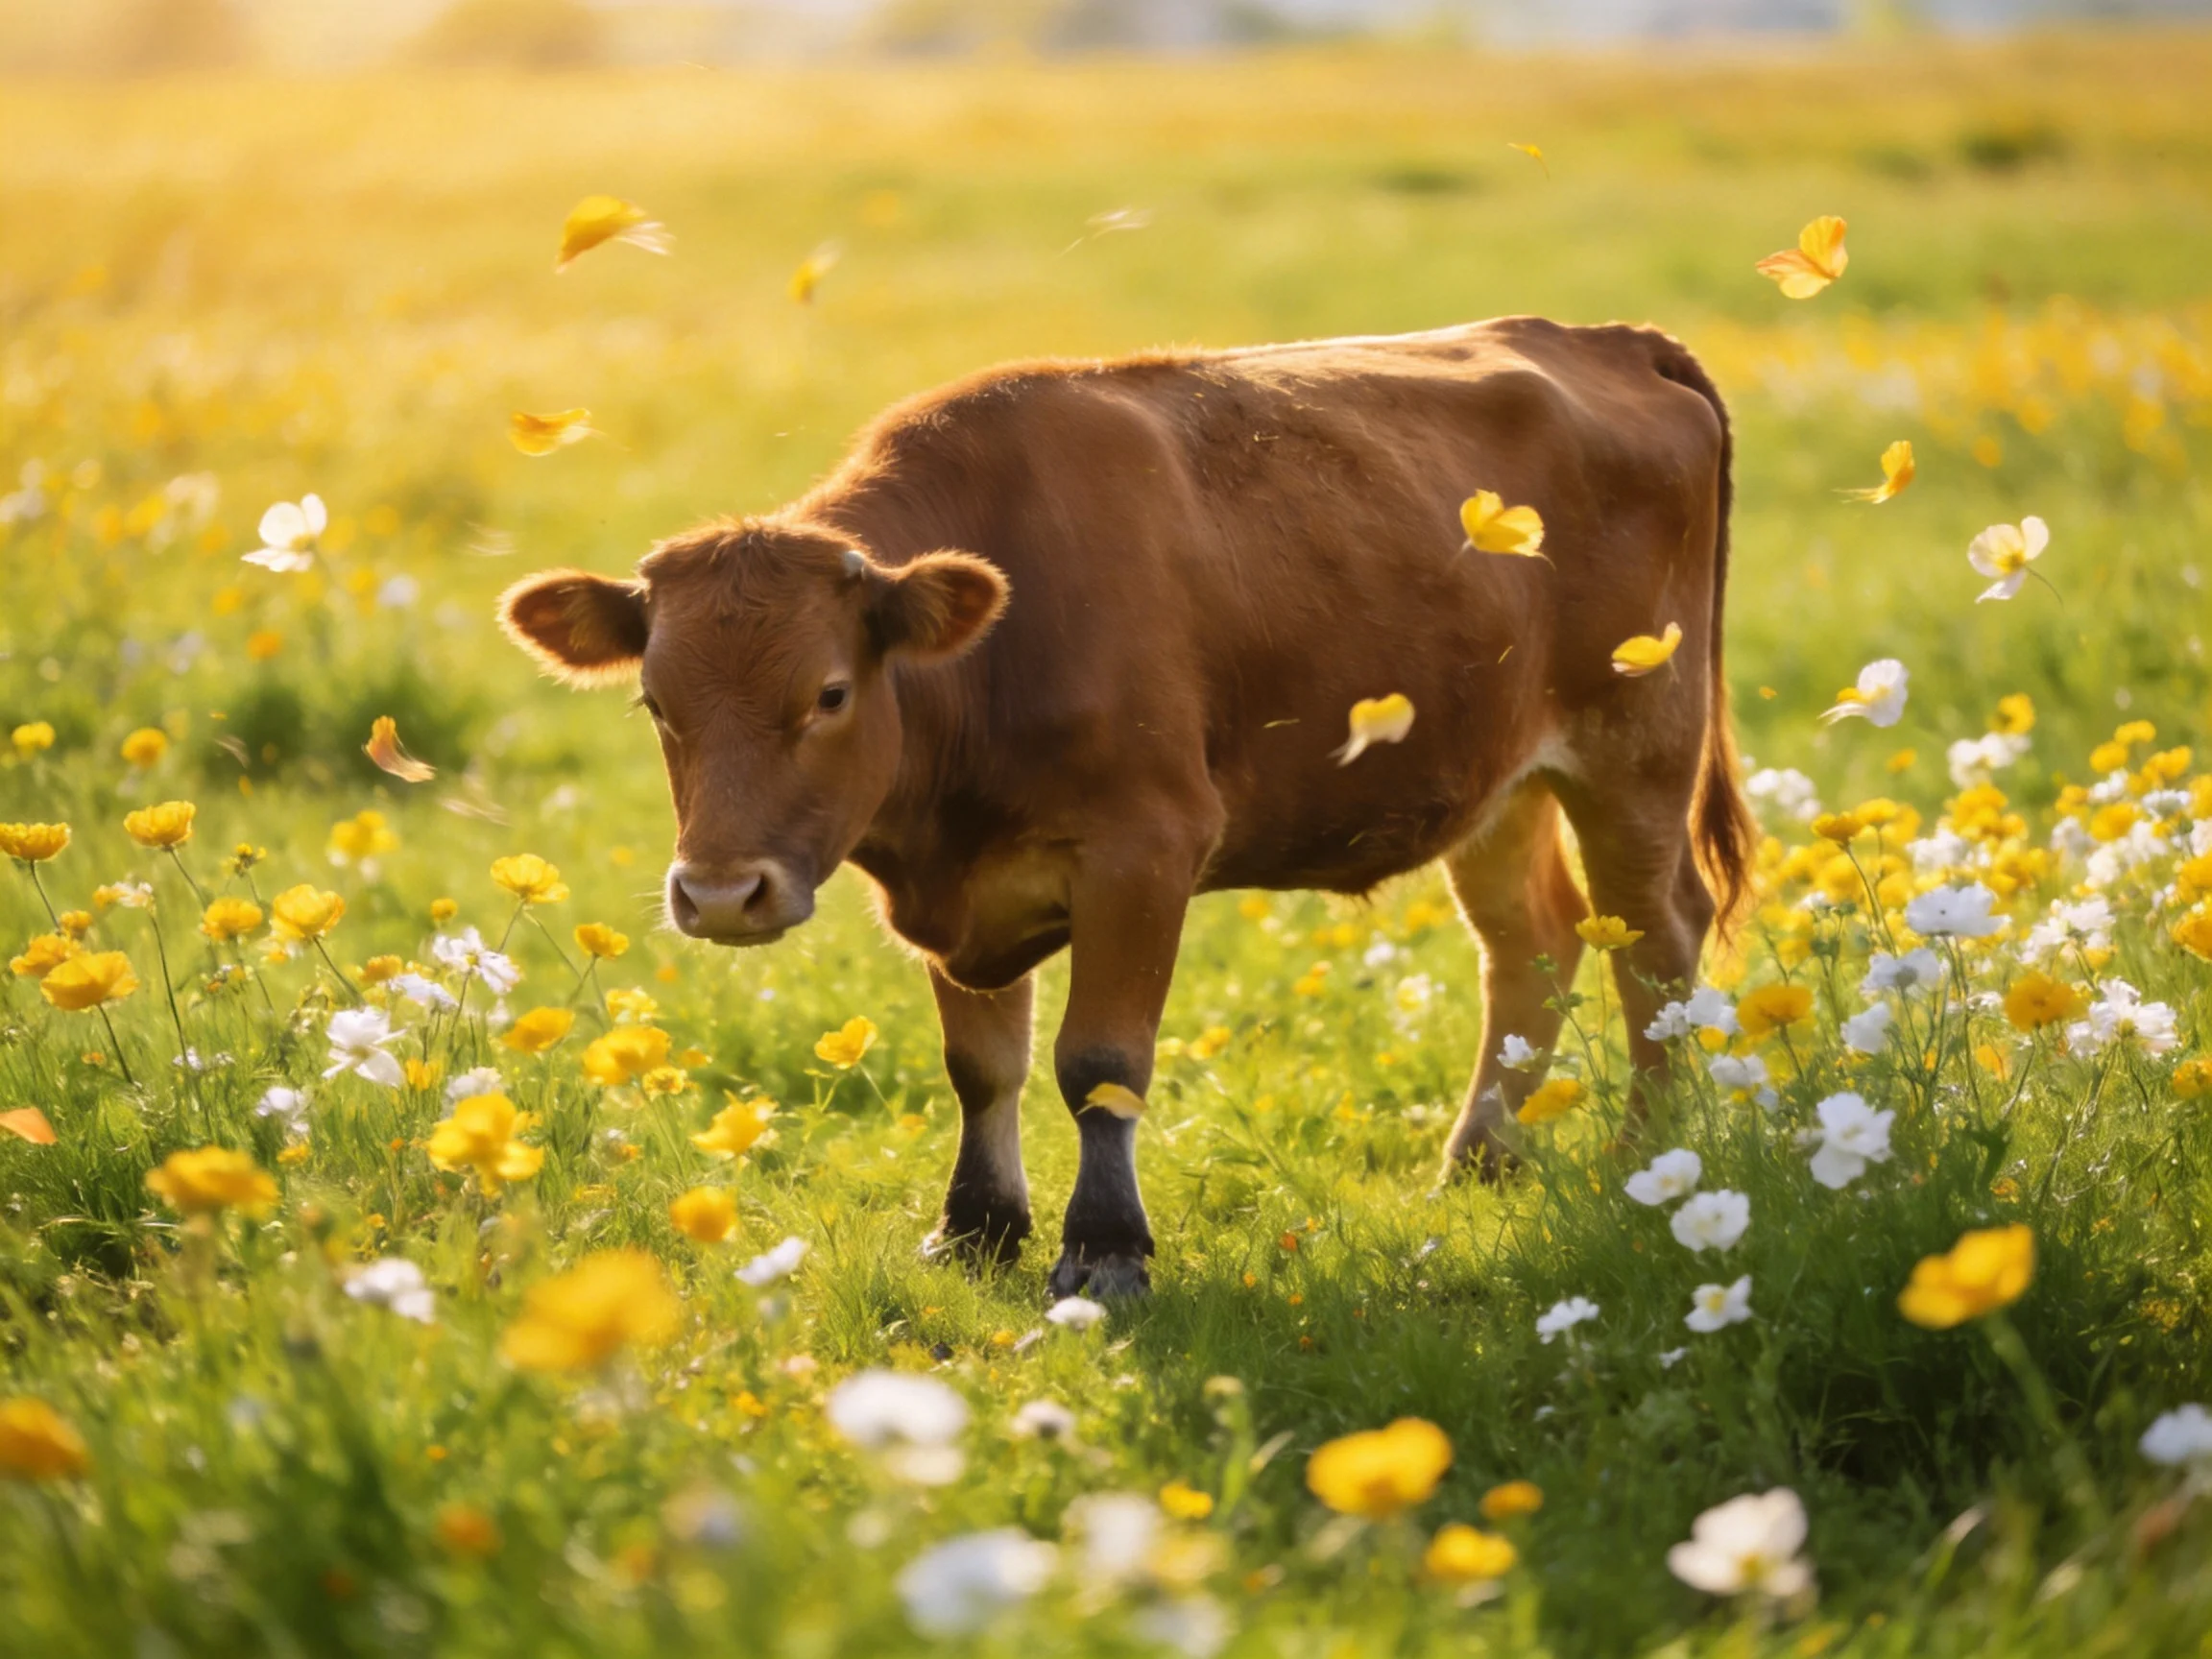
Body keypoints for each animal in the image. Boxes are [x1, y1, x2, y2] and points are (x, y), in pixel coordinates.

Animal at [499, 316, 1755, 1298]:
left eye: (830, 693)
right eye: (656, 702)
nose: (722, 895)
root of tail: (1602, 338)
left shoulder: (1145, 851)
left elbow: (1096, 1061)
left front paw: (1104, 1250)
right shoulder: (962, 890)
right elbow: (981, 1065)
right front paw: (976, 1229)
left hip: (1637, 747)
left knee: (1656, 944)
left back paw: (1651, 1162)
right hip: (1494, 779)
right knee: (1532, 946)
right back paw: (1482, 1160)